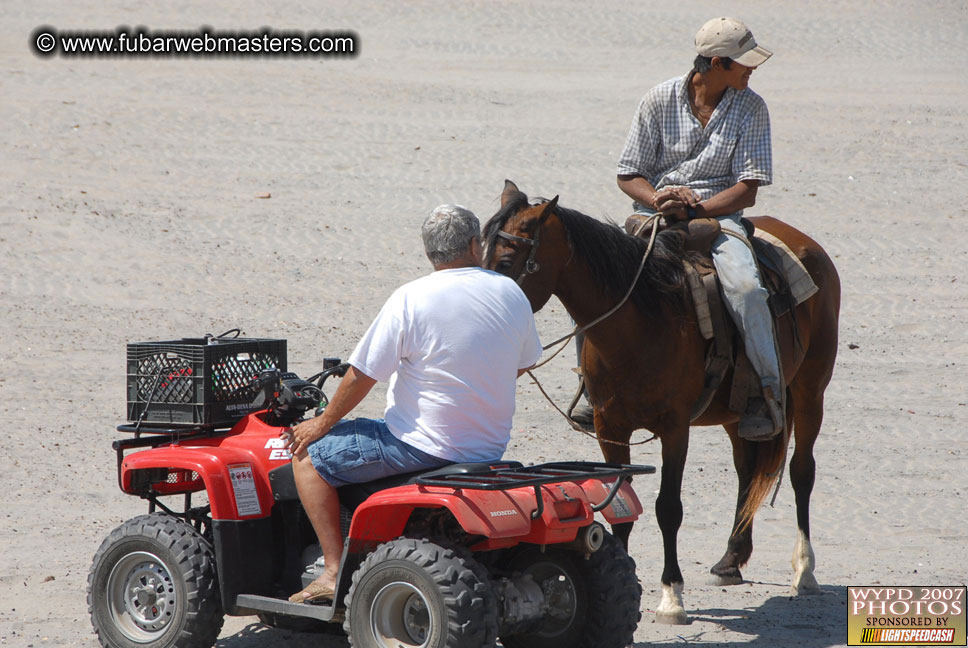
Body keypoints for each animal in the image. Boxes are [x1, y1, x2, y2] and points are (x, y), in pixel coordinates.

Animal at [484, 180, 840, 624]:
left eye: (507, 259)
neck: (642, 323)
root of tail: (806, 244)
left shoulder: (674, 428)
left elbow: (668, 508)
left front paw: (672, 597)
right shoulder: (610, 427)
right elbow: (621, 507)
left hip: (811, 390)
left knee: (801, 472)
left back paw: (804, 571)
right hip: (738, 410)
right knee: (747, 469)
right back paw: (731, 560)